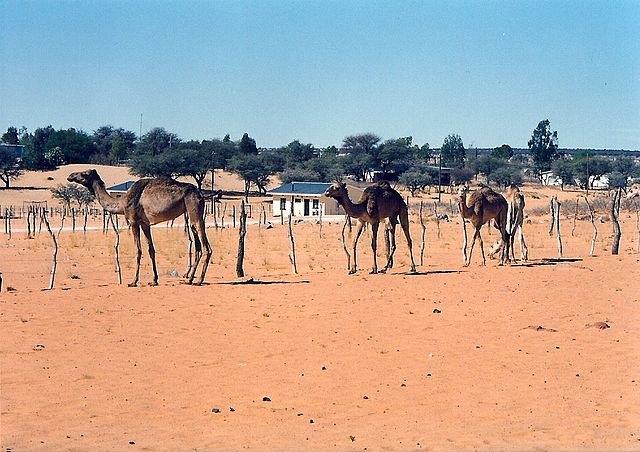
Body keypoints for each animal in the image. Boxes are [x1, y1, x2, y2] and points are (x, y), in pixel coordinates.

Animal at [68, 170, 212, 286]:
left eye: (84, 173)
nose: (70, 176)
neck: (122, 203)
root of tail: (200, 195)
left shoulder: (133, 222)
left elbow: (138, 250)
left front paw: (133, 281)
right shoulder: (145, 224)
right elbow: (151, 250)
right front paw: (154, 280)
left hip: (194, 209)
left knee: (206, 247)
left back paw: (199, 281)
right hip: (190, 213)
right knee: (198, 246)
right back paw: (189, 280)